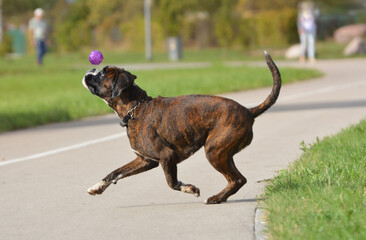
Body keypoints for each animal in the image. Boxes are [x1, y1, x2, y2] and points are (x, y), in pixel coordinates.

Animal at [83, 51, 282, 203]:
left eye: (102, 74)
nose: (90, 70)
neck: (136, 108)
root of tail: (248, 111)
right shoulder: (144, 160)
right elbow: (116, 172)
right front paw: (97, 186)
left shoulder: (166, 157)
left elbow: (171, 183)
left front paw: (189, 188)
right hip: (223, 153)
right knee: (238, 179)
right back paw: (220, 197)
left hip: (214, 151)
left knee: (237, 179)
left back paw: (216, 198)